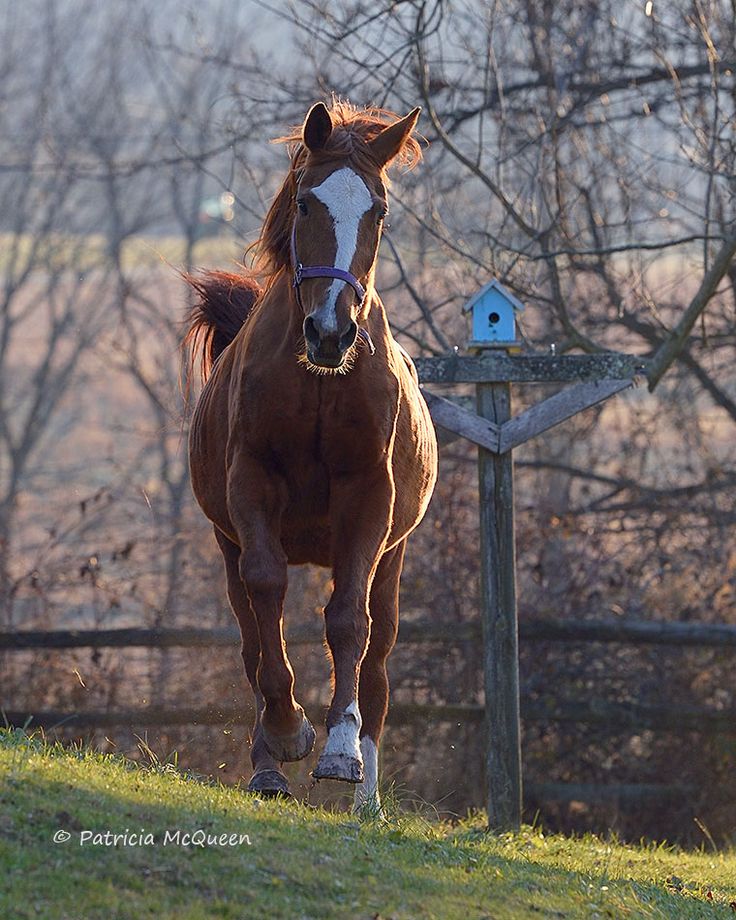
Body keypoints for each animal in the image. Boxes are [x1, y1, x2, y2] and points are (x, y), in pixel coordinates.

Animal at [185, 102, 436, 812]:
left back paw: (367, 800)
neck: (320, 379)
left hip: (392, 557)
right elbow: (267, 595)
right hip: (229, 543)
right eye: (305, 202)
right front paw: (287, 730)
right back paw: (269, 764)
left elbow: (348, 621)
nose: (330, 330)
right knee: (252, 635)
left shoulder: (368, 500)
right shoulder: (251, 490)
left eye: (378, 210)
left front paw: (341, 750)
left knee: (377, 665)